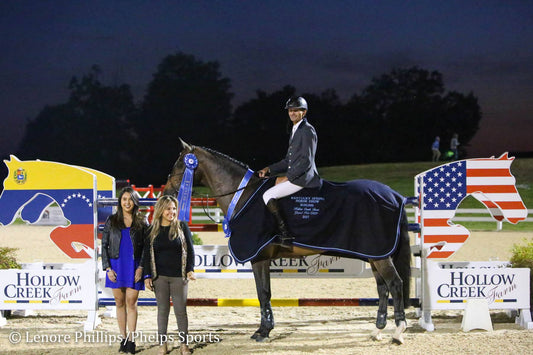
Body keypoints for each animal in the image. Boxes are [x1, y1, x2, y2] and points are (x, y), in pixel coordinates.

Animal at [162, 141, 412, 344]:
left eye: (180, 164)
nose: (167, 193)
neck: (243, 195)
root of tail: (394, 195)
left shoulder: (259, 258)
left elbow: (263, 293)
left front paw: (263, 332)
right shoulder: (261, 259)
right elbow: (264, 293)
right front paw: (263, 329)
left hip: (380, 255)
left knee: (395, 284)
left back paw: (398, 332)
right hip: (375, 254)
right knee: (382, 287)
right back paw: (377, 331)